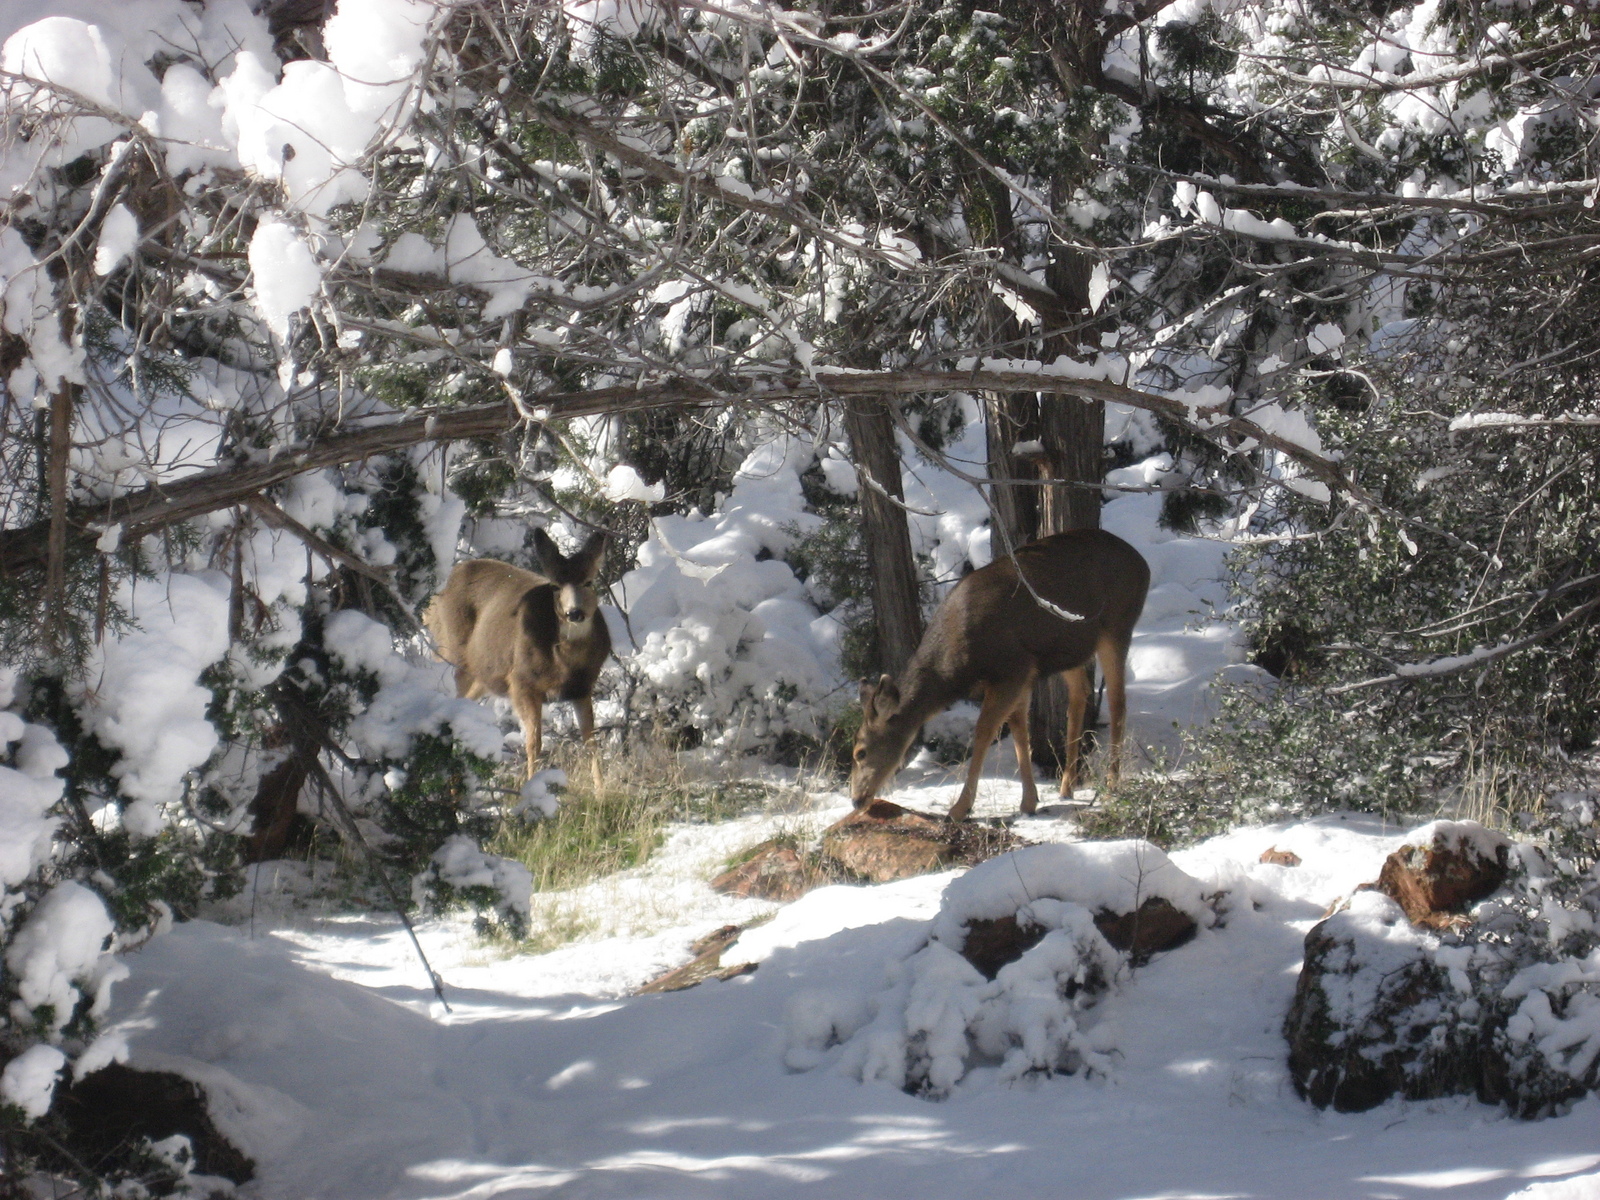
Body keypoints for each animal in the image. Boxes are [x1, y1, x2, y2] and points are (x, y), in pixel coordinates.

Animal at [424, 528, 611, 787]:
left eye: (589, 582)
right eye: (555, 586)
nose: (574, 613)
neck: (565, 664)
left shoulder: (583, 688)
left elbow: (590, 741)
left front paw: (600, 789)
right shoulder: (522, 682)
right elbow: (534, 743)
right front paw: (532, 786)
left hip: (484, 673)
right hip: (452, 653)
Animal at [850, 528, 1149, 822]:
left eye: (860, 752)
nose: (856, 799)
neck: (957, 669)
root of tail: (1143, 564)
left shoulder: (1013, 668)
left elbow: (985, 731)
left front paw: (960, 808)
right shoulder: (1024, 672)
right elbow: (1018, 727)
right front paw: (1029, 801)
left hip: (1118, 625)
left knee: (1118, 703)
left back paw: (1111, 784)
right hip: (1070, 649)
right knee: (1081, 694)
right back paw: (1067, 786)